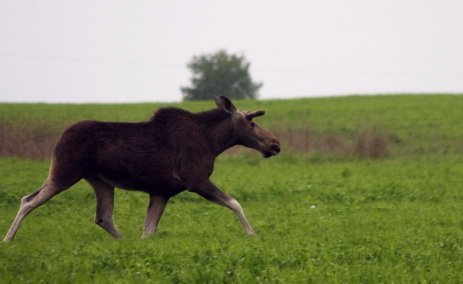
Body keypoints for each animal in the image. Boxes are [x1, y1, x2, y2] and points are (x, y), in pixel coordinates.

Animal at [3, 96, 280, 241]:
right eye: (251, 122)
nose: (275, 144)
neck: (213, 143)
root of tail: (60, 137)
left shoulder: (161, 191)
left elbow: (148, 230)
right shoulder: (196, 179)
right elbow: (235, 203)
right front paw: (252, 234)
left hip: (100, 181)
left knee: (102, 216)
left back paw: (125, 243)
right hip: (64, 172)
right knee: (28, 200)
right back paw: (7, 239)